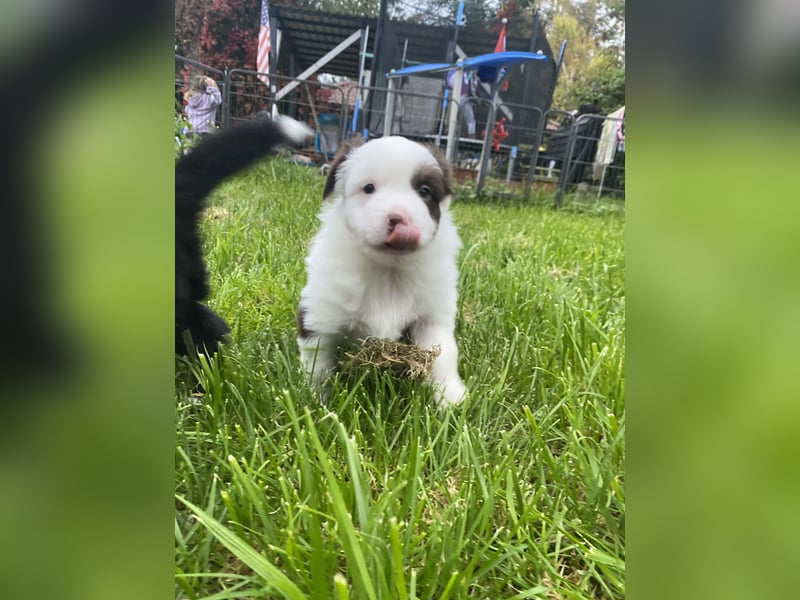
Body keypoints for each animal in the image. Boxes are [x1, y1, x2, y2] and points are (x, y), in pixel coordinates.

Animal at [296, 137, 466, 408]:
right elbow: (318, 367)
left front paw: (451, 398)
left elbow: (445, 355)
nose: (399, 219)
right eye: (369, 188)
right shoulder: (319, 315)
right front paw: (316, 402)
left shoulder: (432, 316)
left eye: (425, 191)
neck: (388, 272)